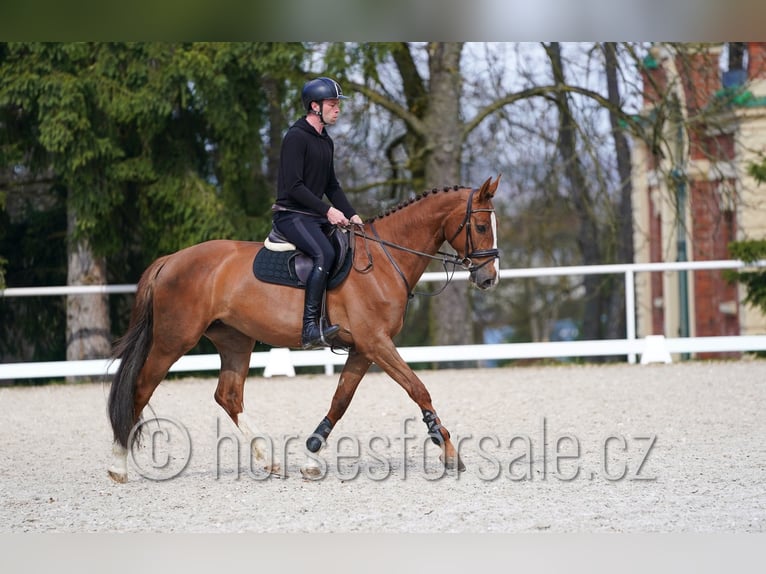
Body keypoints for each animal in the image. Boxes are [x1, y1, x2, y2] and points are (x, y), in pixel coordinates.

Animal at [107, 175, 501, 482]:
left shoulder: (363, 348)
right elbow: (418, 389)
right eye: (481, 227)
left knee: (228, 395)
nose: (488, 279)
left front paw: (312, 454)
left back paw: (269, 460)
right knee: (141, 388)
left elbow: (340, 400)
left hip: (235, 339)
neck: (383, 260)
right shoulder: (376, 343)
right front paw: (448, 450)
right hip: (173, 340)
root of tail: (170, 260)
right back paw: (118, 466)